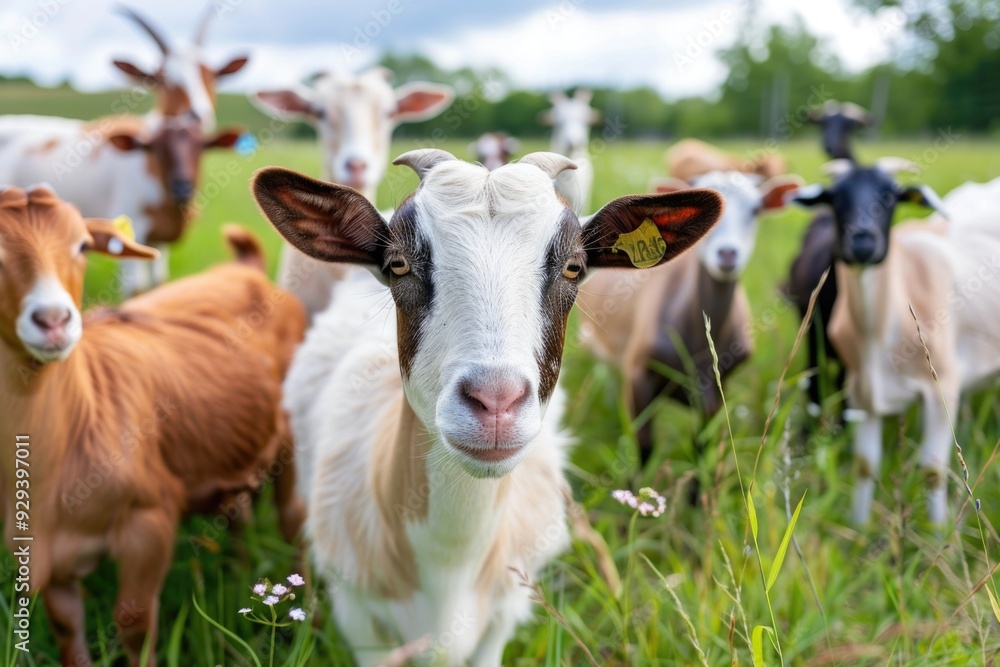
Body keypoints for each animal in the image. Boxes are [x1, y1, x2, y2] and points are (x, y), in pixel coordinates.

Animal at [0, 187, 304, 667]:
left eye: (82, 245)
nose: (53, 320)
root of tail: (244, 267)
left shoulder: (150, 519)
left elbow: (134, 622)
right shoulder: (42, 549)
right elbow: (67, 628)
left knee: (294, 517)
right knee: (238, 510)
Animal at [580, 175, 796, 470]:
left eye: (755, 210)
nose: (727, 254)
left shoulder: (715, 390)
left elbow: (702, 449)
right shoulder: (639, 374)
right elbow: (644, 448)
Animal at [788, 159, 1000, 524]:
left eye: (889, 196)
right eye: (836, 197)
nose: (862, 240)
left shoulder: (943, 385)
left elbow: (933, 470)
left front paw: (939, 531)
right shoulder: (860, 392)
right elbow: (864, 465)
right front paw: (858, 529)